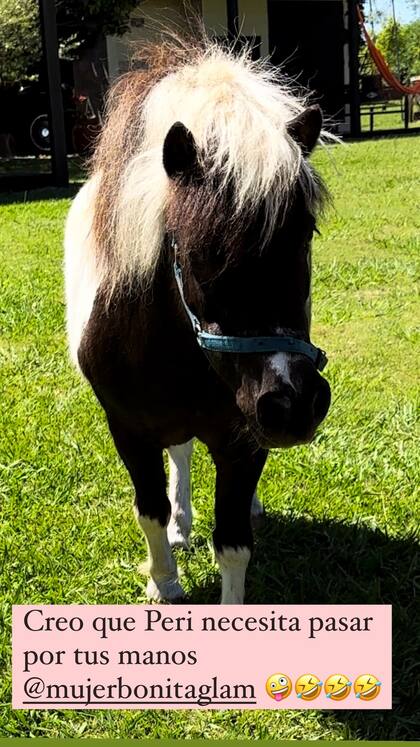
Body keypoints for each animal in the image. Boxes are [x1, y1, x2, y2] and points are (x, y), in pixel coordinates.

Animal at [64, 38, 332, 604]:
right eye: (199, 249)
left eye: (306, 233)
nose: (294, 405)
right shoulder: (128, 428)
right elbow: (149, 509)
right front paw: (164, 580)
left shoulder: (242, 439)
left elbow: (233, 542)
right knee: (181, 454)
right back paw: (180, 525)